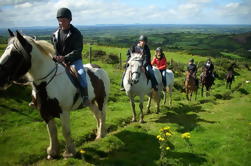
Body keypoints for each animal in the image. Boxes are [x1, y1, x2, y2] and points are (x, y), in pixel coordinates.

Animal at [0, 30, 110, 160]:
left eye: (15, 54)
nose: (1, 78)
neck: (46, 83)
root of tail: (99, 68)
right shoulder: (45, 113)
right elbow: (52, 132)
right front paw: (52, 152)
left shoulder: (64, 112)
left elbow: (65, 131)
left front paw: (69, 152)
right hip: (91, 102)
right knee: (97, 115)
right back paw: (98, 133)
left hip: (101, 99)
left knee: (102, 115)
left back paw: (101, 134)